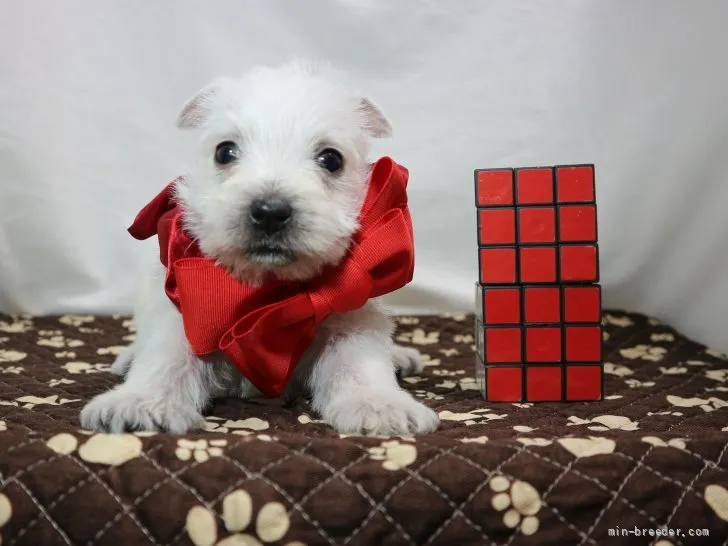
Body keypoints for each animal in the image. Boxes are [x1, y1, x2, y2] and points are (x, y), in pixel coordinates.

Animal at [82, 59, 440, 434]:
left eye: (331, 159)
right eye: (224, 151)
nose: (270, 212)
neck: (269, 295)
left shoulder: (352, 312)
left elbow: (359, 362)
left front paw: (380, 405)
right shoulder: (188, 307)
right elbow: (167, 356)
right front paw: (140, 402)